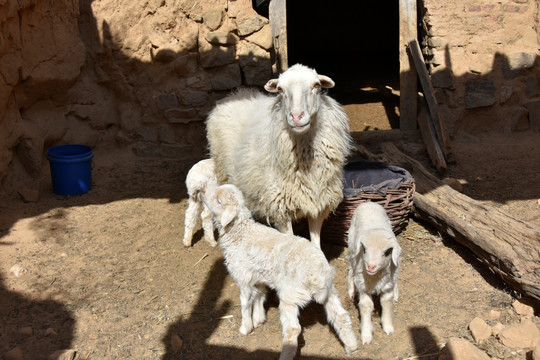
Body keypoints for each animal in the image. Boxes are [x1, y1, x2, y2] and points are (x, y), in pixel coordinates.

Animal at [200, 184, 356, 358]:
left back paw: (285, 355)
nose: (202, 191)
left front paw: (245, 328)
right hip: (330, 292)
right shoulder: (258, 277)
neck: (240, 233)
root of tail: (318, 276)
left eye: (219, 200)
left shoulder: (244, 278)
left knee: (293, 329)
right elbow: (260, 295)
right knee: (341, 316)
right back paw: (351, 347)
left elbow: (245, 304)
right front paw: (259, 319)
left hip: (290, 295)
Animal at [205, 63, 352, 248]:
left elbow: (316, 243)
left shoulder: (319, 204)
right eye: (280, 89)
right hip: (223, 171)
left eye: (316, 85)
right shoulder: (280, 209)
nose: (296, 116)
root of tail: (234, 95)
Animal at [346, 201, 400, 344]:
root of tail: (368, 202)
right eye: (364, 249)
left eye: (387, 252)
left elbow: (386, 301)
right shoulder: (363, 286)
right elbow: (366, 305)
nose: (370, 267)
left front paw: (388, 327)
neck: (374, 278)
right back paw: (351, 290)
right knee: (350, 269)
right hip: (351, 248)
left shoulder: (388, 285)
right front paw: (366, 335)